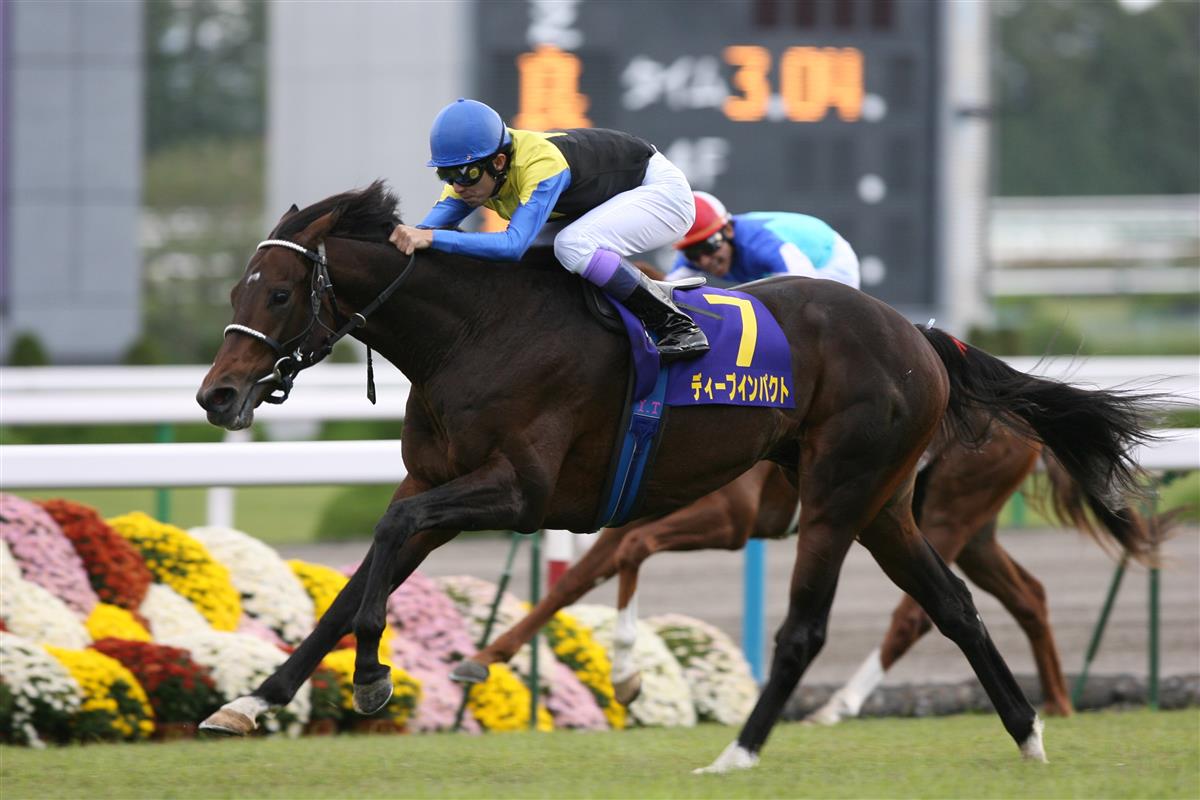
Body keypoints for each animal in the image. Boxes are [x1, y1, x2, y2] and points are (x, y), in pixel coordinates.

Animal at [457, 410, 1159, 720]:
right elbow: (575, 582)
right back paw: (1060, 703)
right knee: (1028, 595)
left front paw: (627, 673)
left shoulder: (730, 522)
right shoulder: (634, 514)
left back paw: (839, 705)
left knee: (916, 614)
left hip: (946, 514)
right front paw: (488, 655)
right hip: (975, 528)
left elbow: (629, 555)